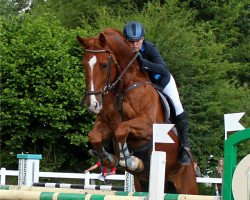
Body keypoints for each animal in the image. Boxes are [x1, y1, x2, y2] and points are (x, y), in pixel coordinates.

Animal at [77, 28, 198, 194]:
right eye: (84, 65)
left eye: (103, 65)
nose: (92, 104)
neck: (123, 89)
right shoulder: (108, 125)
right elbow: (95, 135)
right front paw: (109, 158)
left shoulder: (148, 126)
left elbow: (121, 129)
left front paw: (130, 160)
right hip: (143, 183)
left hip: (187, 186)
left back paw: (185, 155)